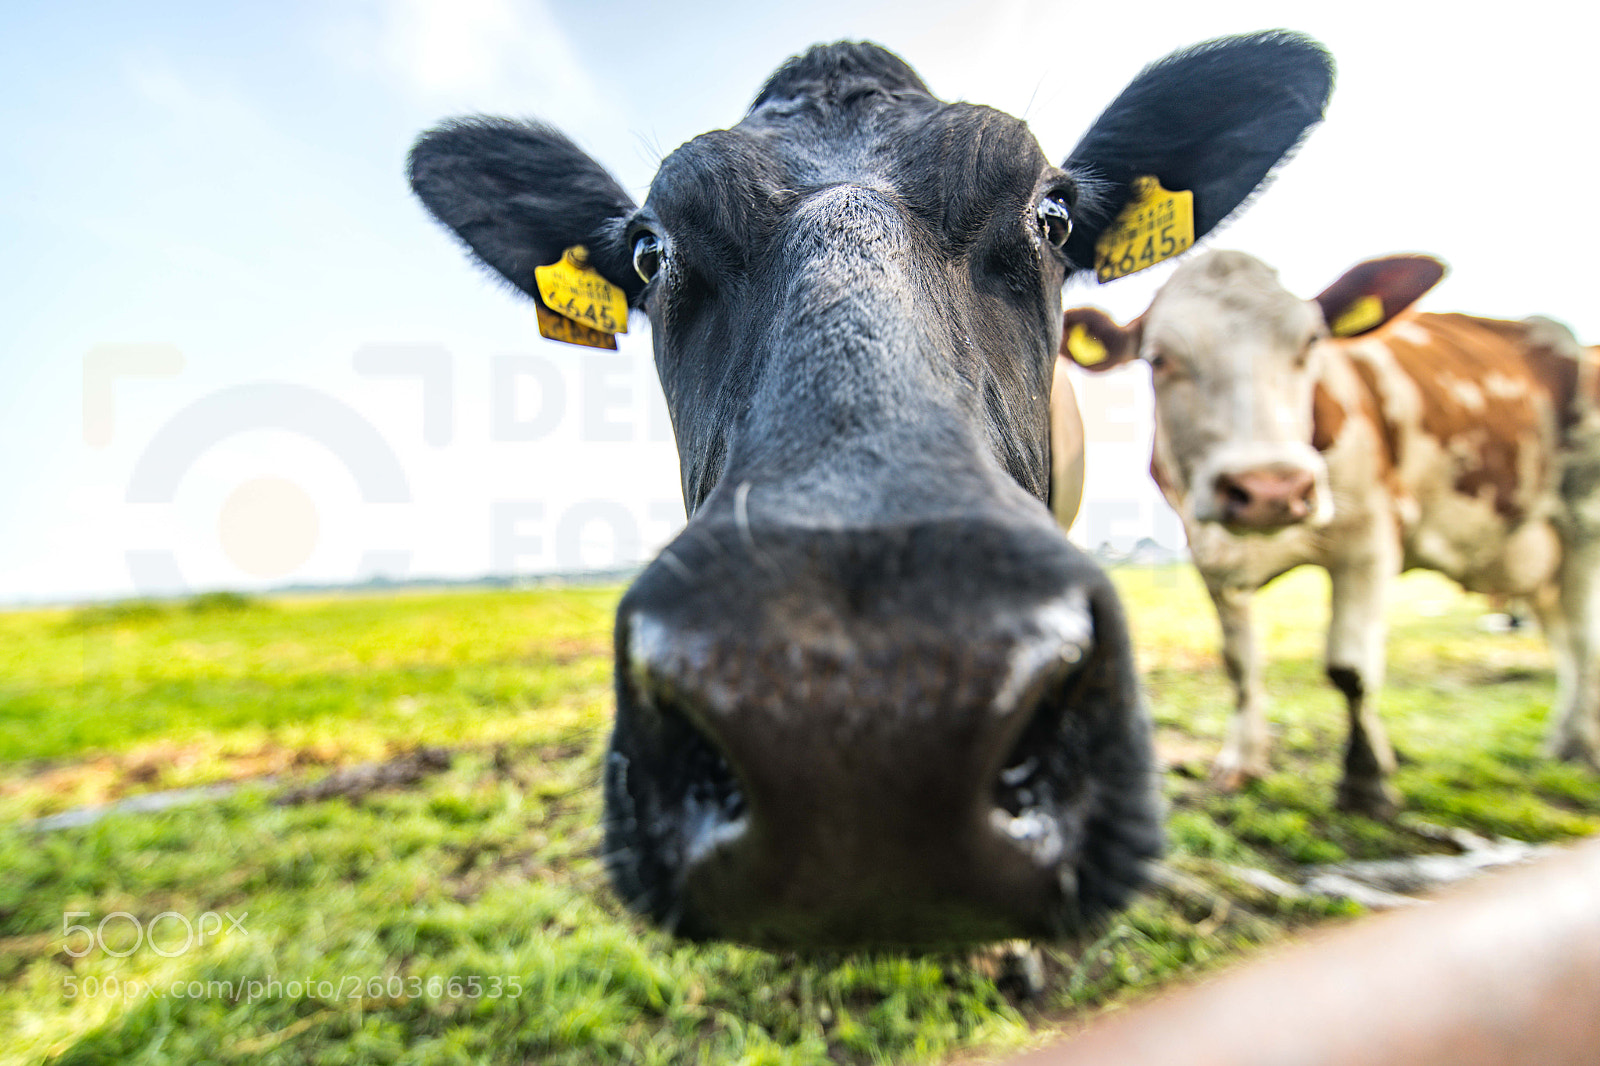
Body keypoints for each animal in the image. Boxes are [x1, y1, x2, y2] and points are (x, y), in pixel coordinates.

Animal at [1062, 249, 1600, 817]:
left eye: (1310, 344)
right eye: (1160, 358)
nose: (1270, 488)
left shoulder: (1369, 541)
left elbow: (1350, 668)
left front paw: (1365, 780)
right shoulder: (1209, 554)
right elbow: (1239, 663)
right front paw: (1242, 761)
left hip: (1581, 522)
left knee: (1583, 638)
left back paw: (1580, 746)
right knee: (1564, 638)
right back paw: (1565, 739)